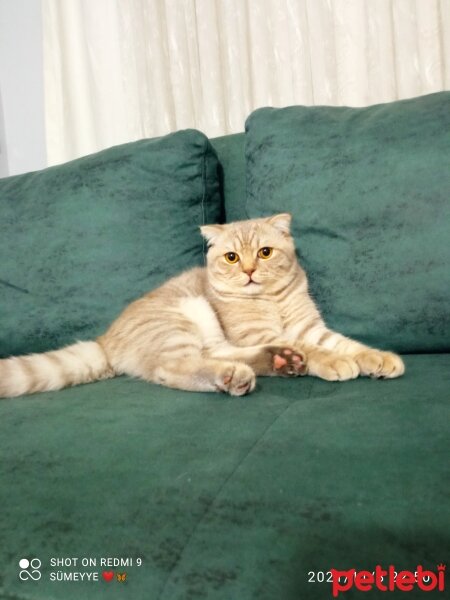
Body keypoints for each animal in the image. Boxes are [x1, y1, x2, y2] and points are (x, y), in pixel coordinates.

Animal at [0, 211, 402, 398]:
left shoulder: (310, 328)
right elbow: (318, 350)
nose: (249, 271)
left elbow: (345, 344)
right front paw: (335, 363)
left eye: (265, 252)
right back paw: (238, 376)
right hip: (179, 324)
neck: (269, 300)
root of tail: (104, 340)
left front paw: (377, 358)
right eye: (231, 257)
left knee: (219, 355)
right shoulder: (258, 333)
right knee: (173, 369)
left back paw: (280, 360)